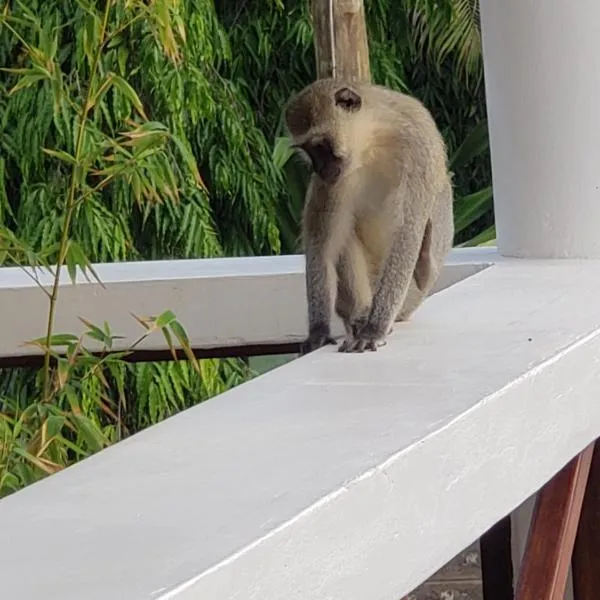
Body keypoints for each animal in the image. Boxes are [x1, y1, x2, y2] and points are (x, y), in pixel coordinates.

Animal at [284, 77, 452, 354]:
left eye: (321, 146)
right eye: (309, 151)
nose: (319, 170)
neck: (373, 141)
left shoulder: (418, 150)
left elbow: (407, 234)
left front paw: (375, 328)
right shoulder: (335, 182)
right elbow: (323, 247)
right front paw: (319, 331)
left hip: (411, 297)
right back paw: (360, 315)